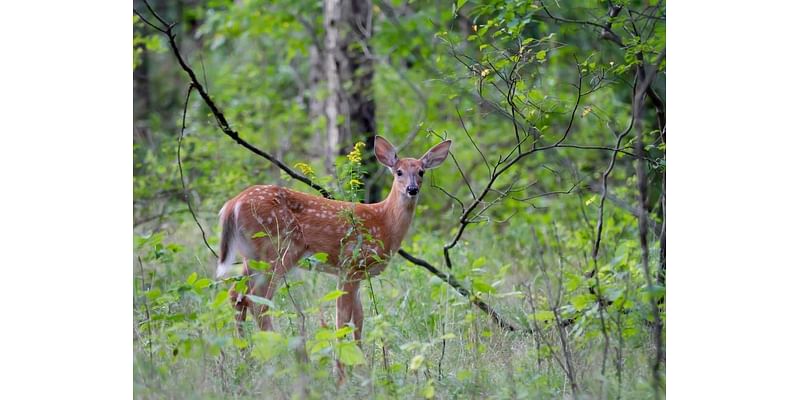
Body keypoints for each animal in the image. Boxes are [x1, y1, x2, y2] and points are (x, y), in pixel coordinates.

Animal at [216, 136, 450, 370]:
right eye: (398, 171)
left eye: (421, 172)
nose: (412, 189)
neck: (384, 222)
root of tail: (232, 204)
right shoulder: (350, 264)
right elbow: (343, 318)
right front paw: (341, 365)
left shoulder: (357, 273)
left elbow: (358, 318)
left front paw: (361, 364)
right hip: (278, 249)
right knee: (257, 300)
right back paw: (282, 356)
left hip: (252, 255)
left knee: (236, 295)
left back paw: (246, 356)